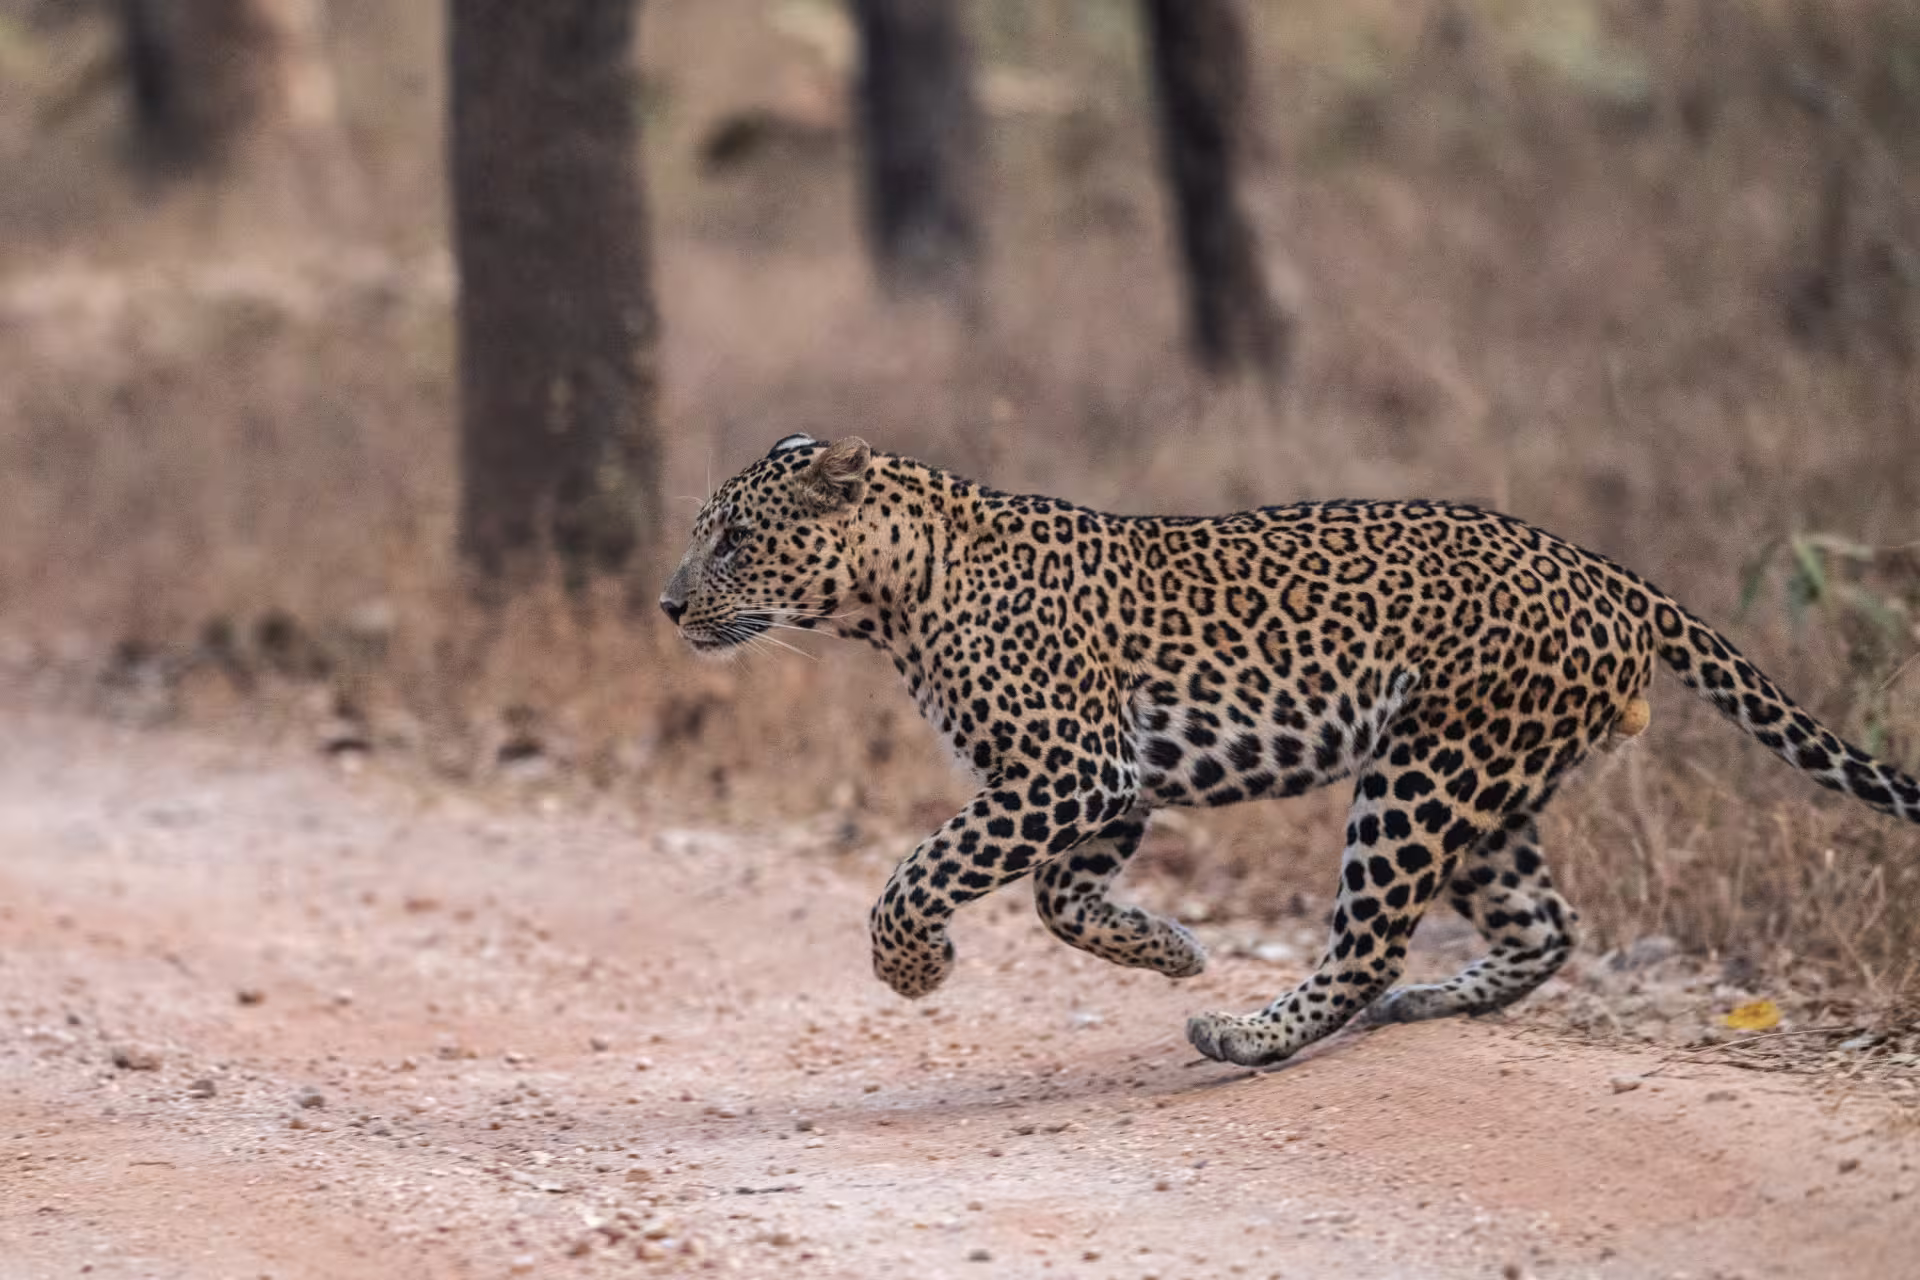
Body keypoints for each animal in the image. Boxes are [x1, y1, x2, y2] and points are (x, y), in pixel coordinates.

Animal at [659, 435, 1920, 1068]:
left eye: (732, 537)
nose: (669, 604)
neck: (895, 594)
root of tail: (1605, 569)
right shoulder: (1108, 788)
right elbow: (1062, 902)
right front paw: (1170, 946)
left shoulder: (1069, 770)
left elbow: (918, 873)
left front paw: (915, 967)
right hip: (1490, 778)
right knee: (1546, 923)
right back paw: (1423, 1004)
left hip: (1421, 776)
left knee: (1369, 939)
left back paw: (1254, 1033)